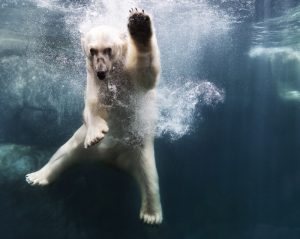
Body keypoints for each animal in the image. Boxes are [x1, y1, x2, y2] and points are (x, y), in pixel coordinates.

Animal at [25, 8, 163, 224]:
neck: (113, 73)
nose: (101, 71)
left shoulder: (130, 77)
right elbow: (91, 107)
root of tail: (111, 160)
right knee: (63, 153)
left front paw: (139, 24)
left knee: (149, 177)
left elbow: (146, 73)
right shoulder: (94, 82)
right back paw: (37, 177)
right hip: (81, 143)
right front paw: (96, 134)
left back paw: (151, 215)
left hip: (139, 146)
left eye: (108, 49)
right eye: (92, 50)